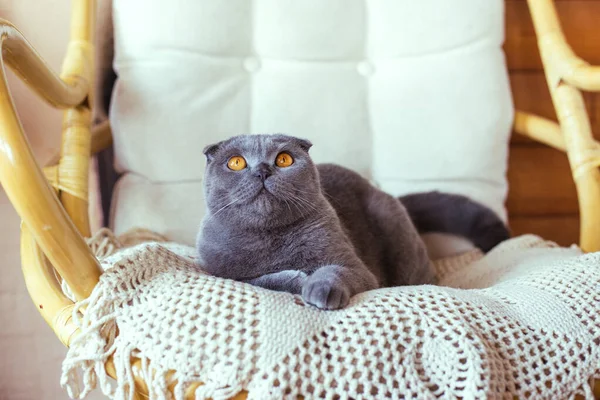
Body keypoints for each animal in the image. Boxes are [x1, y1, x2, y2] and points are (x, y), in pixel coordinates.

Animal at [196, 134, 506, 310]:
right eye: (236, 162)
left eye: (284, 159)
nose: (262, 170)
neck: (271, 238)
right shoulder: (220, 271)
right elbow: (260, 279)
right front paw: (296, 278)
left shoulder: (357, 268)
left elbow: (335, 270)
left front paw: (320, 288)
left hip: (396, 232)